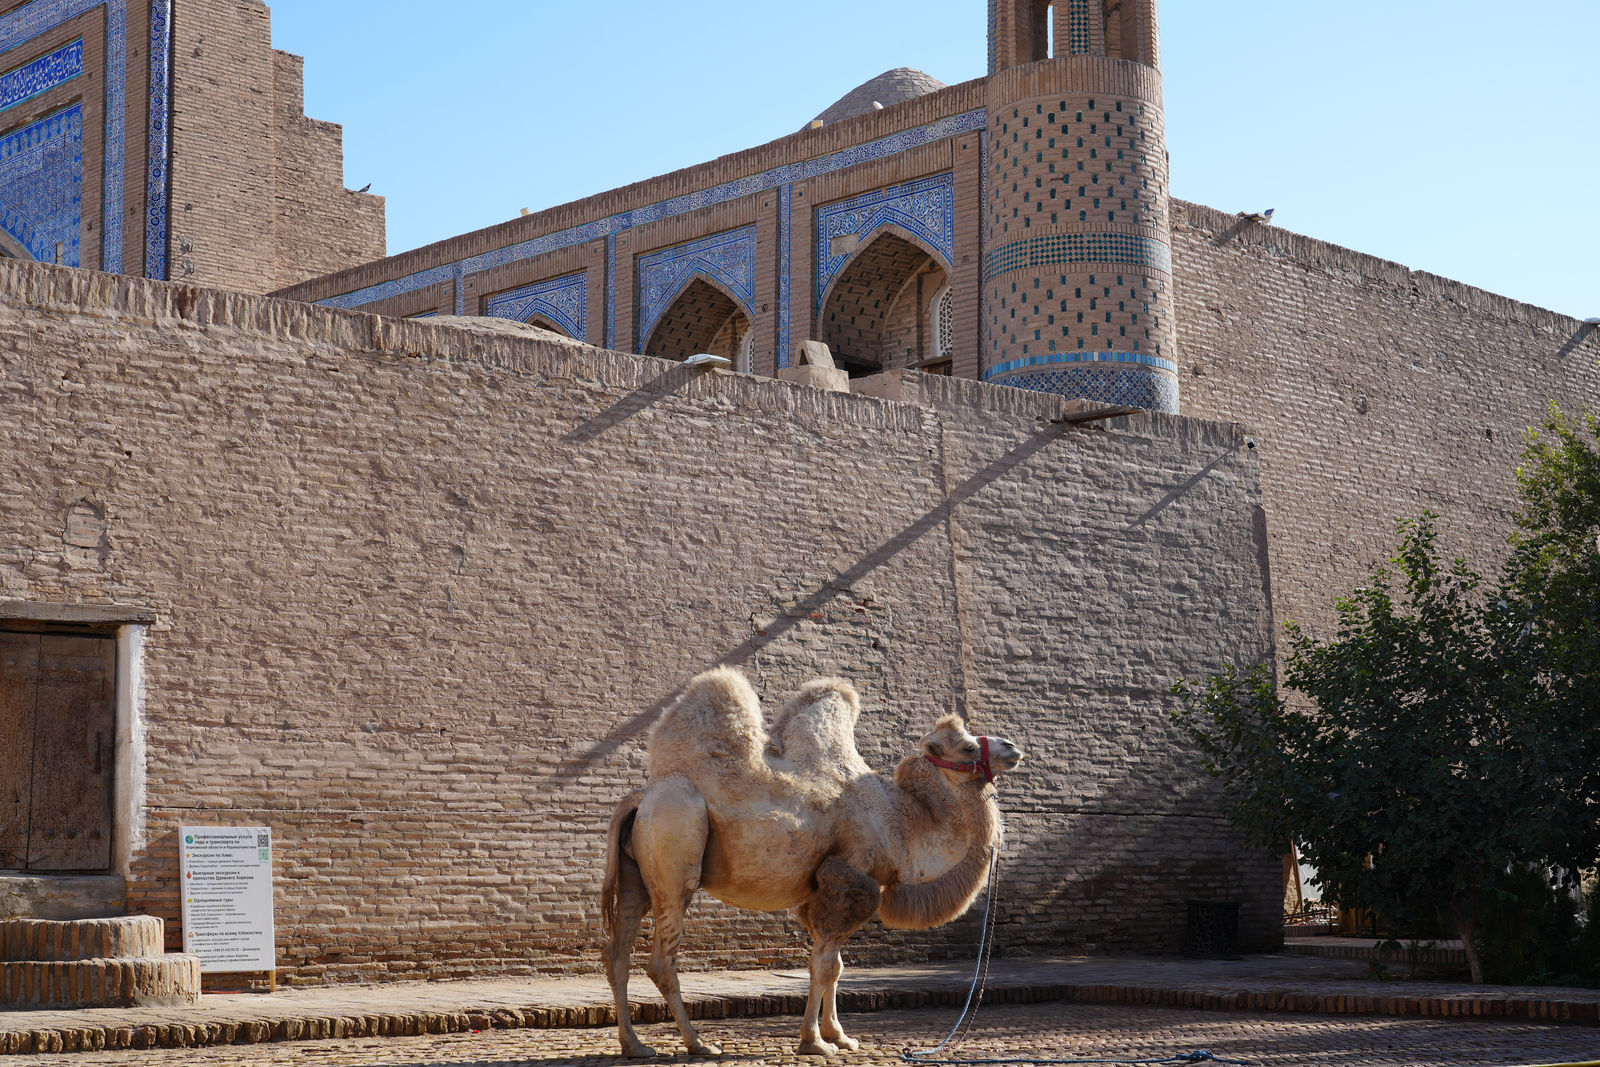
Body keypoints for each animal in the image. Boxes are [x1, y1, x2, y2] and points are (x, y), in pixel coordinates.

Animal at [601, 668, 1023, 1057]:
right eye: (967, 747)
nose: (1012, 747)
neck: (898, 821)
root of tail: (640, 798)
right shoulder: (849, 876)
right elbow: (824, 965)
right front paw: (815, 1042)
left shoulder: (820, 890)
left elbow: (834, 965)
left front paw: (840, 1036)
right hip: (676, 845)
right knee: (661, 960)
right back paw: (699, 1044)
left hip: (637, 874)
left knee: (617, 955)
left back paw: (635, 1046)